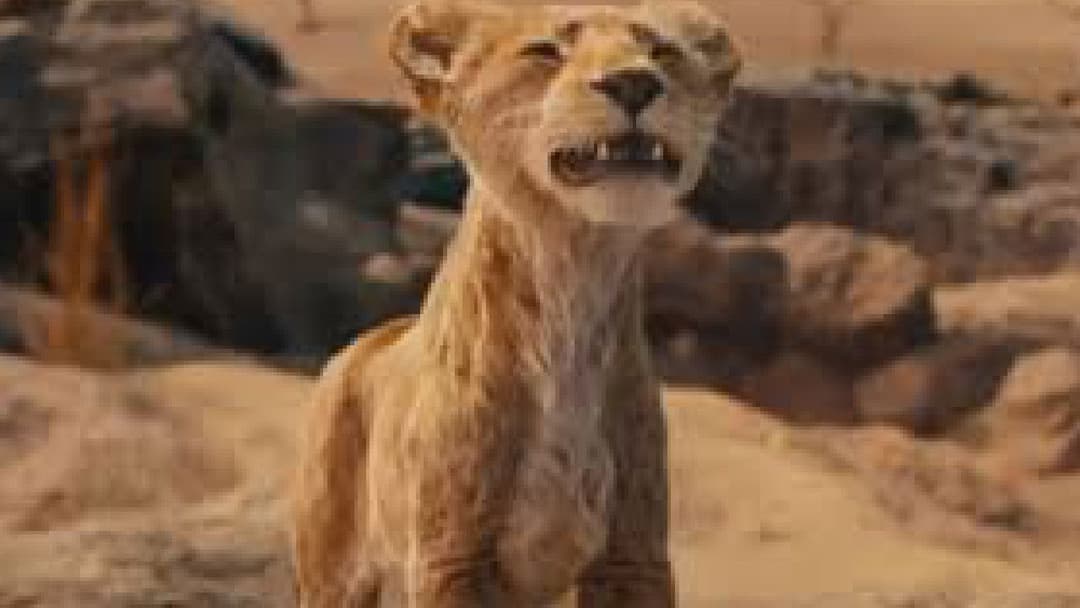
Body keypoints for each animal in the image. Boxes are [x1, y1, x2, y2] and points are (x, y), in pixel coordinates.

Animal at [291, 1, 741, 605]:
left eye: (662, 51)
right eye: (545, 50)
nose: (634, 82)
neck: (572, 281)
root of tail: (368, 340)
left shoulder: (633, 557)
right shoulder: (453, 556)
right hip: (333, 575)